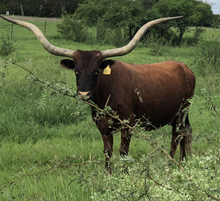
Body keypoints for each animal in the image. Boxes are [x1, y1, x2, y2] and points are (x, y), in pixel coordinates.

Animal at [0, 14, 196, 172]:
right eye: (76, 71)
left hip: (181, 111)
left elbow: (123, 152)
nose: (84, 94)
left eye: (96, 72)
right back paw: (183, 163)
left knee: (177, 136)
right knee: (185, 133)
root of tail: (184, 67)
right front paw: (108, 175)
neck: (105, 96)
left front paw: (124, 175)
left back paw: (171, 164)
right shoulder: (102, 127)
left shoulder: (128, 124)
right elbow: (107, 152)